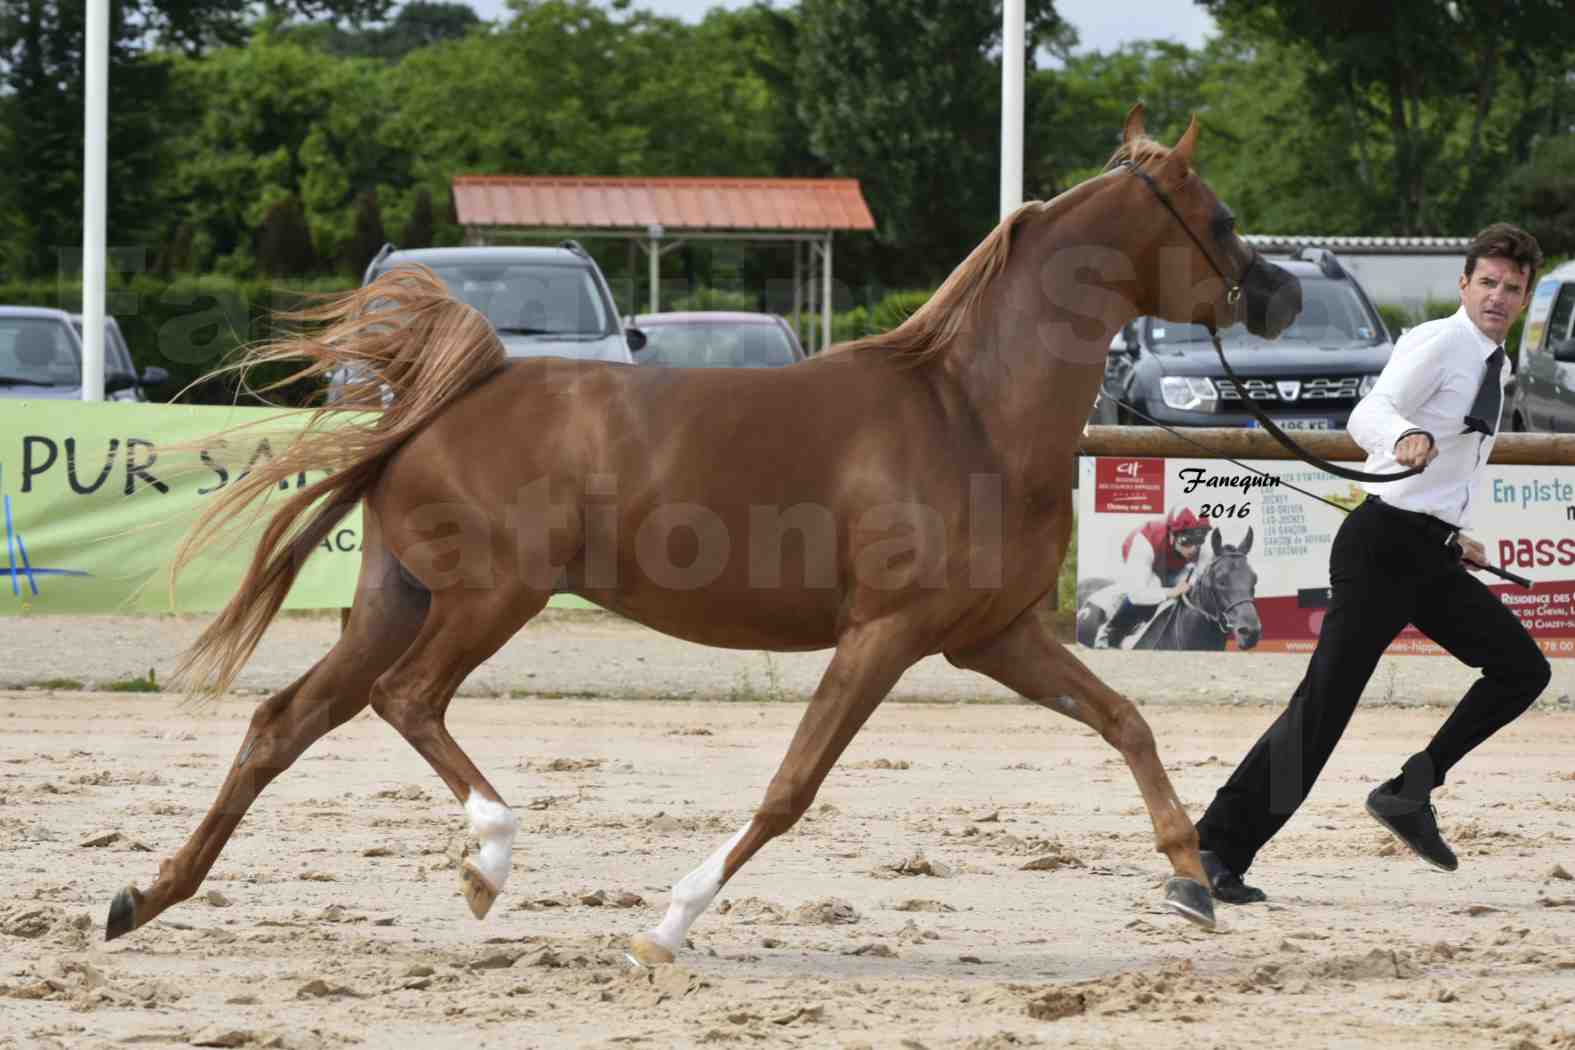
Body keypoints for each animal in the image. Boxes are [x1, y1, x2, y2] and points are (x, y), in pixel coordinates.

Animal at [104, 108, 1297, 963]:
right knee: (407, 702)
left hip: (398, 599)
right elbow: (791, 787)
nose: (1281, 297)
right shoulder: (885, 635)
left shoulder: (990, 637)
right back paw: (487, 860)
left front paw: (1191, 882)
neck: (967, 411)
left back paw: (142, 898)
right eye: (1220, 217)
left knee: (284, 721)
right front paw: (667, 923)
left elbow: (1126, 721)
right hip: (489, 598)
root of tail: (440, 402)